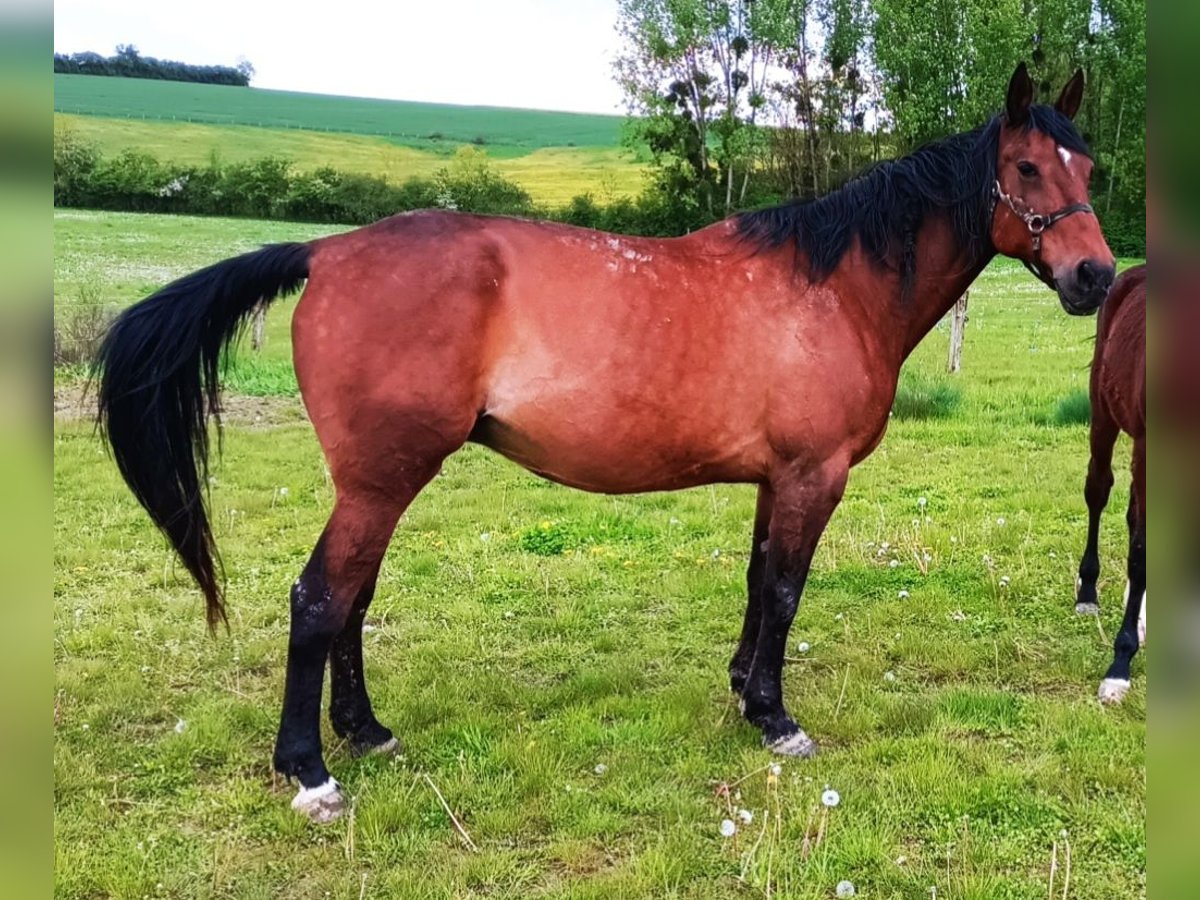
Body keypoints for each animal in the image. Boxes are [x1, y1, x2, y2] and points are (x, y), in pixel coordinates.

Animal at [93, 65, 1113, 825]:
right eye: (1027, 168)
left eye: (1089, 169)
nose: (1095, 276)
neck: (833, 288)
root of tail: (328, 252)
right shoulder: (811, 476)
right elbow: (786, 589)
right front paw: (776, 717)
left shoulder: (772, 479)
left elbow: (757, 582)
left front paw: (742, 690)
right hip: (381, 479)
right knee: (320, 599)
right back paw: (311, 771)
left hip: (376, 485)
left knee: (352, 599)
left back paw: (366, 731)